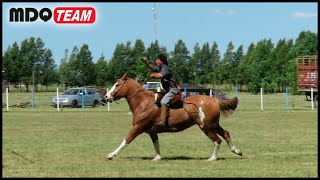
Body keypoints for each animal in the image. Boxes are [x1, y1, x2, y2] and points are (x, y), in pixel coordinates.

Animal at [105, 74, 242, 161]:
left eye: (117, 84)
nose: (106, 97)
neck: (143, 103)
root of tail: (215, 100)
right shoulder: (152, 132)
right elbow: (156, 144)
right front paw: (157, 157)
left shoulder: (137, 127)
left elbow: (125, 141)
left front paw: (111, 154)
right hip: (214, 125)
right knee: (226, 134)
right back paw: (236, 150)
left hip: (206, 127)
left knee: (217, 140)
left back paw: (212, 158)